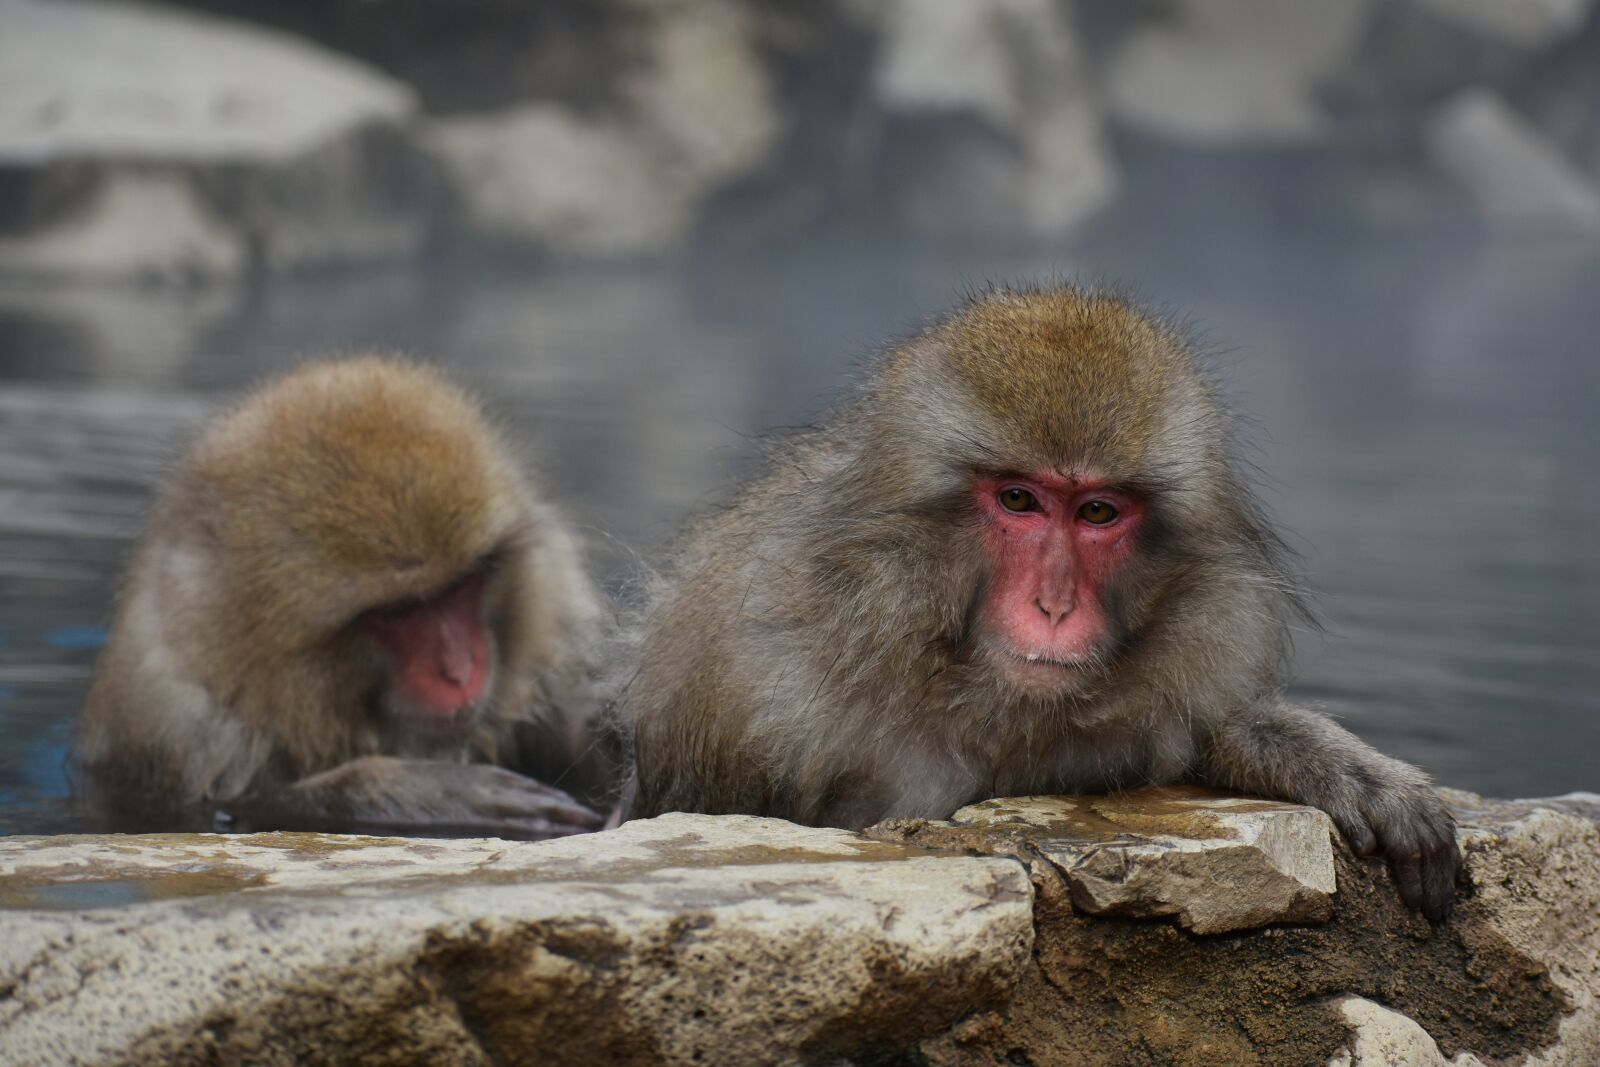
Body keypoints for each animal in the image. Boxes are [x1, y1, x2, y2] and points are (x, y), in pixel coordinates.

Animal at [75, 356, 611, 839]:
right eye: (397, 611)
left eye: (462, 584)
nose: (460, 672)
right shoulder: (180, 724)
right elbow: (232, 809)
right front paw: (424, 790)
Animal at [619, 285, 1461, 921]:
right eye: (1019, 499)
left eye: (1098, 511)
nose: (1054, 605)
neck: (951, 676)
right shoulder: (742, 693)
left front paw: (1335, 765)